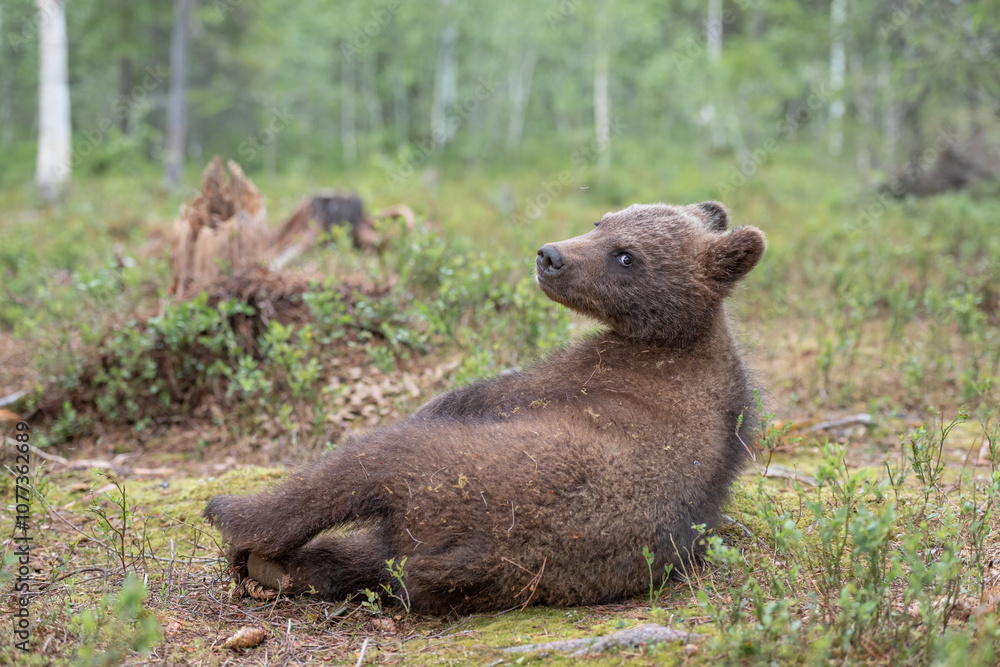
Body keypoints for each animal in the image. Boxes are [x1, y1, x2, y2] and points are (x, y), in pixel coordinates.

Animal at [204, 201, 766, 615]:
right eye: (601, 221)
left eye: (627, 255)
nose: (550, 256)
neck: (674, 337)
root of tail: (487, 552)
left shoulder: (590, 372)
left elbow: (483, 392)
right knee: (370, 559)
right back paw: (278, 568)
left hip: (467, 470)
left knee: (357, 468)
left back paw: (237, 517)